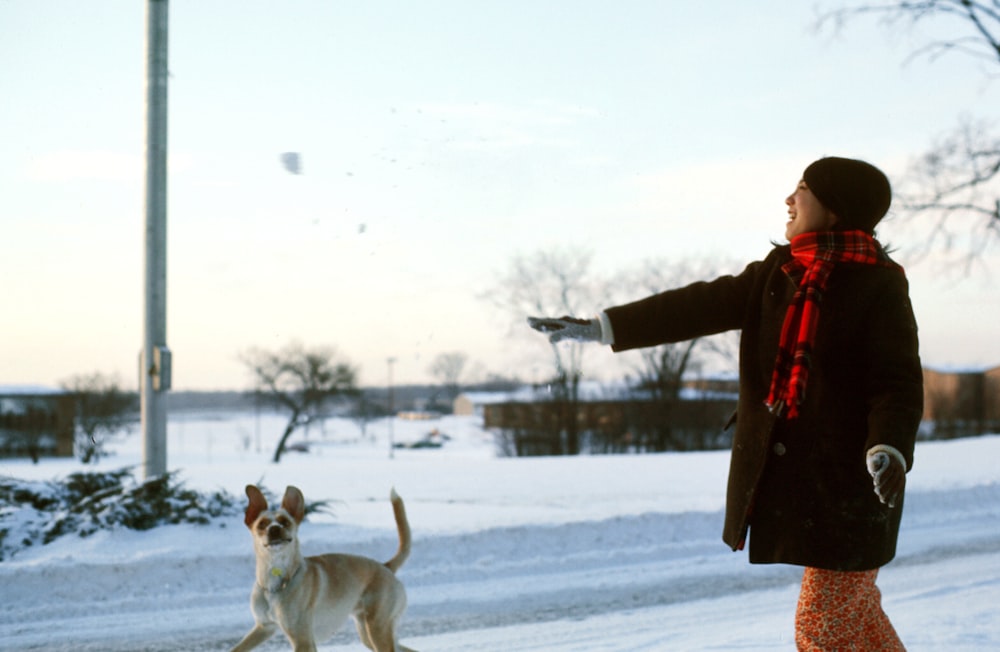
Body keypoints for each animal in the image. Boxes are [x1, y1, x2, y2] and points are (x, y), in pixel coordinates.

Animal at [230, 484, 414, 652]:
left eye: (285, 522)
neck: (274, 582)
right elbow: (236, 648)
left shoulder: (302, 641)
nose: (274, 528)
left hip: (377, 629)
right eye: (262, 524)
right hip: (368, 633)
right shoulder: (264, 627)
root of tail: (386, 566)